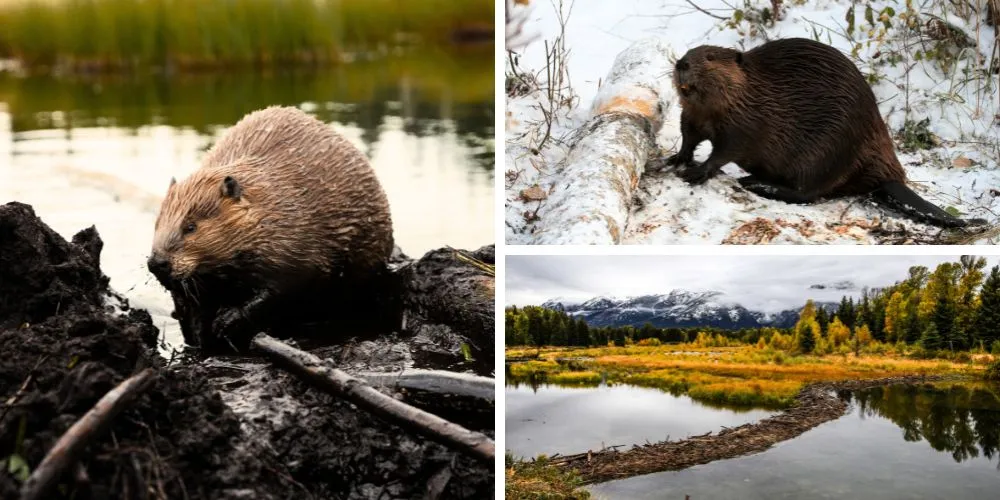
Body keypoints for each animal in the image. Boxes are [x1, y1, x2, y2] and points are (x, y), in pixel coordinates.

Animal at [147, 105, 394, 348]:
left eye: (190, 226)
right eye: (157, 224)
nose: (157, 263)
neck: (269, 203)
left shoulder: (293, 241)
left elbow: (283, 287)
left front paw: (225, 321)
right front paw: (198, 331)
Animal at [656, 36, 984, 229]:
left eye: (710, 58)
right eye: (689, 52)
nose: (682, 63)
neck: (750, 91)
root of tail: (888, 177)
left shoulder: (746, 122)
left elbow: (726, 149)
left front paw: (697, 171)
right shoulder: (693, 115)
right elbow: (689, 136)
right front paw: (675, 159)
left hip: (829, 149)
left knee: (808, 192)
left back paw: (756, 183)